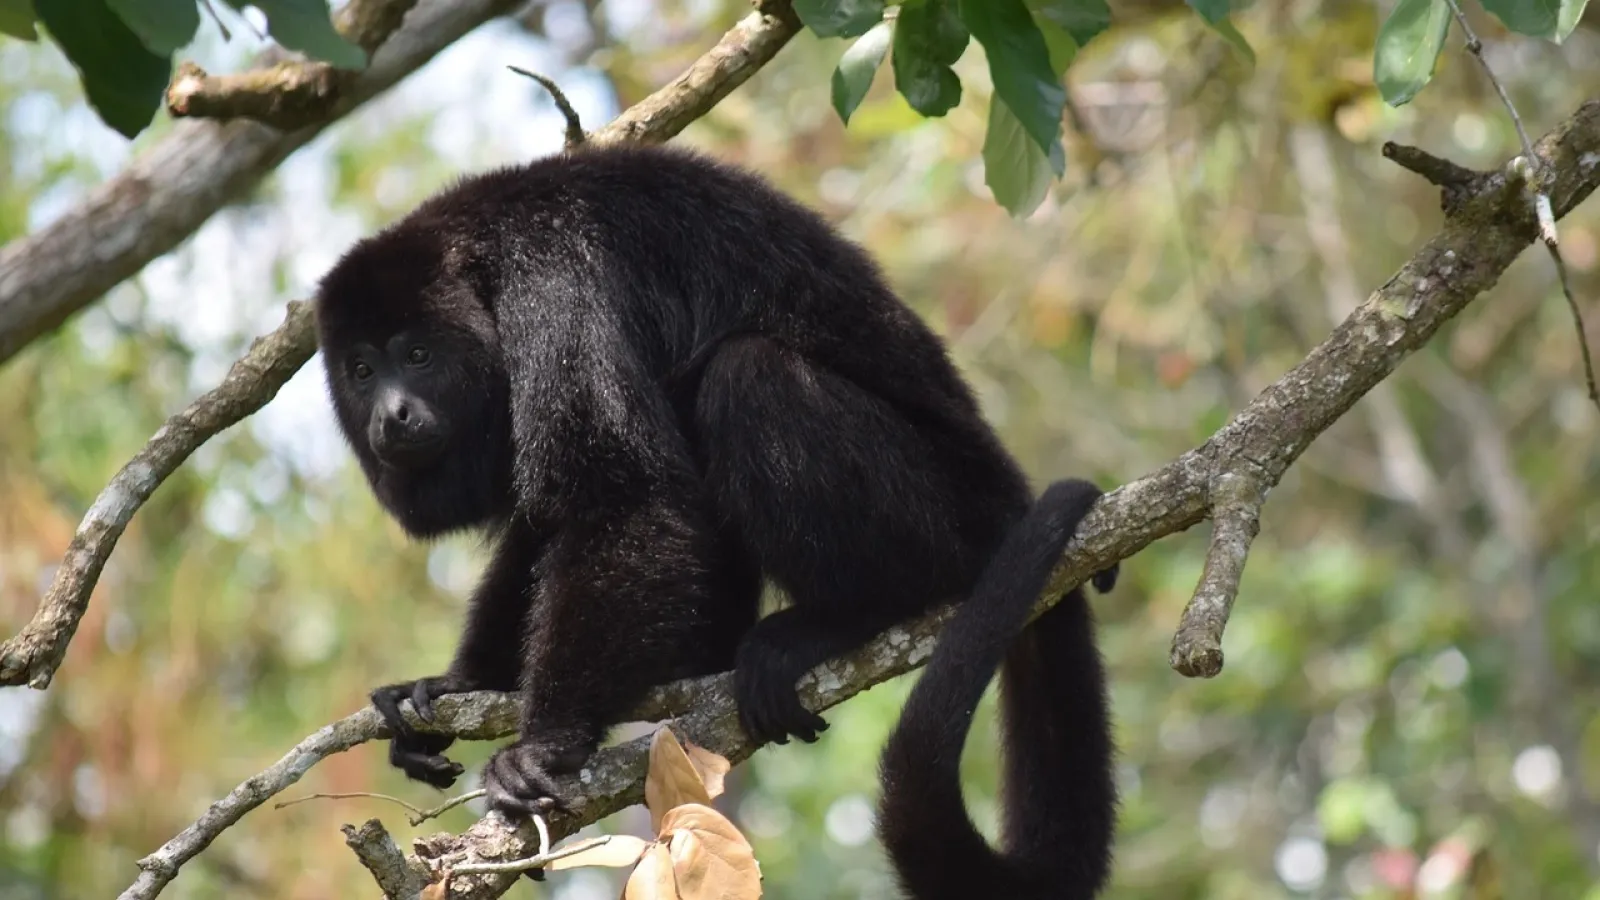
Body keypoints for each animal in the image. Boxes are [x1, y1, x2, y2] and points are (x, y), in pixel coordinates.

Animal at [313, 142, 1119, 898]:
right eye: (362, 370)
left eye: (418, 354)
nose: (392, 414)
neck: (484, 266)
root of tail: (1007, 499)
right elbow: (549, 522)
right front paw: (455, 685)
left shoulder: (552, 289)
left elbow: (625, 498)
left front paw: (543, 746)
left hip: (943, 511)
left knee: (747, 375)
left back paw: (849, 616)